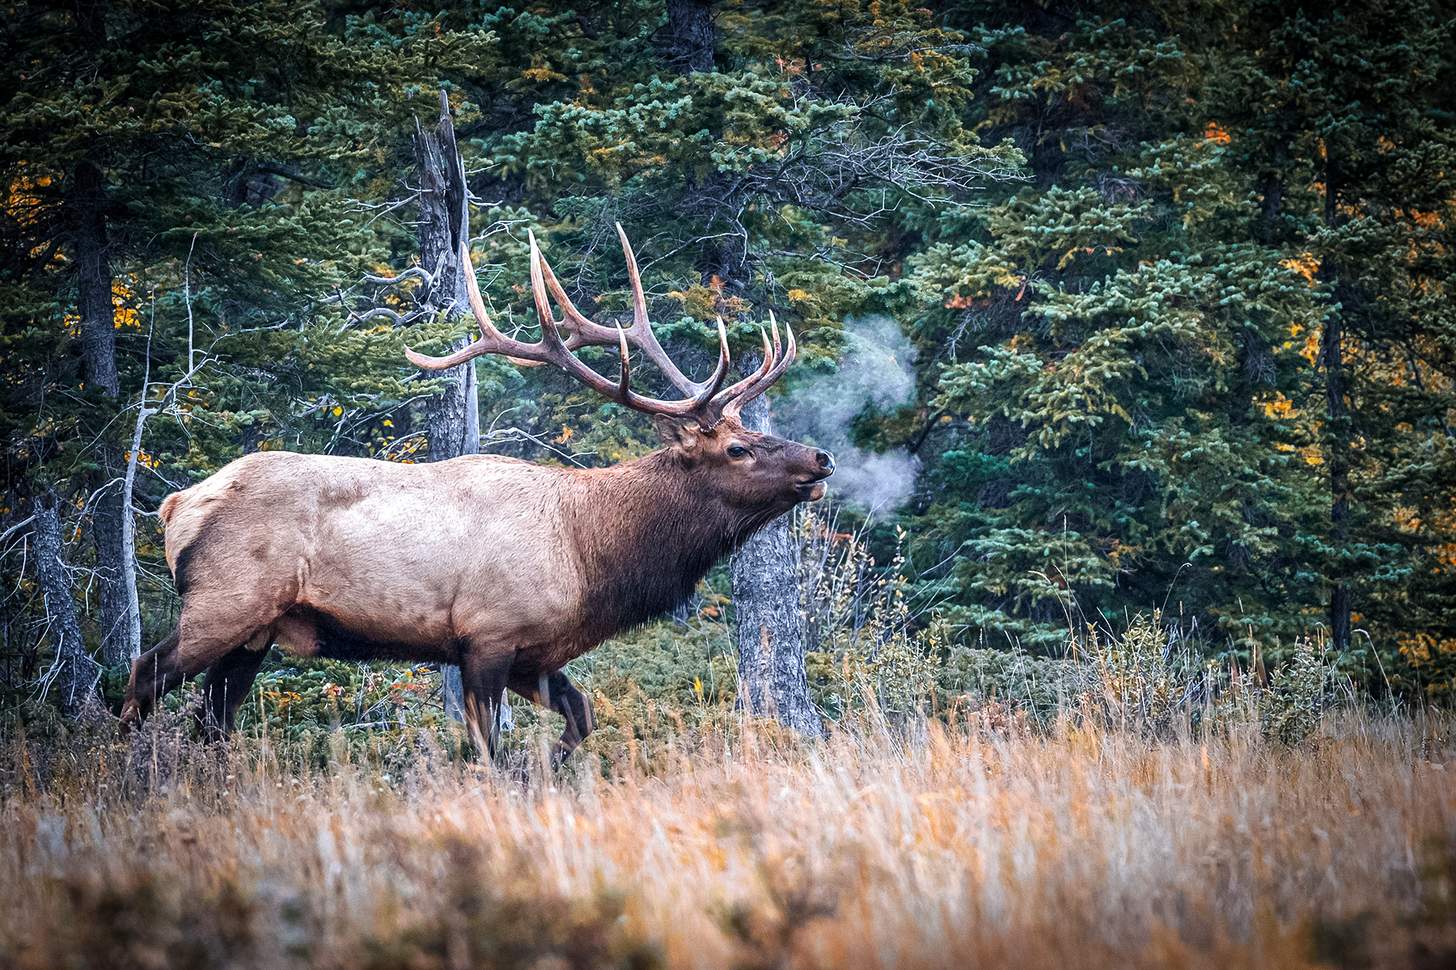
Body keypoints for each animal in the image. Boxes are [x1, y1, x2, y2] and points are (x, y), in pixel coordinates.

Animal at [119, 227, 834, 763]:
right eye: (736, 448)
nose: (820, 459)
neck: (589, 558)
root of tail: (176, 507)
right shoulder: (487, 634)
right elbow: (488, 751)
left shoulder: (533, 654)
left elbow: (582, 718)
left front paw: (552, 768)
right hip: (226, 601)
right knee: (144, 674)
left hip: (257, 632)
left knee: (212, 721)